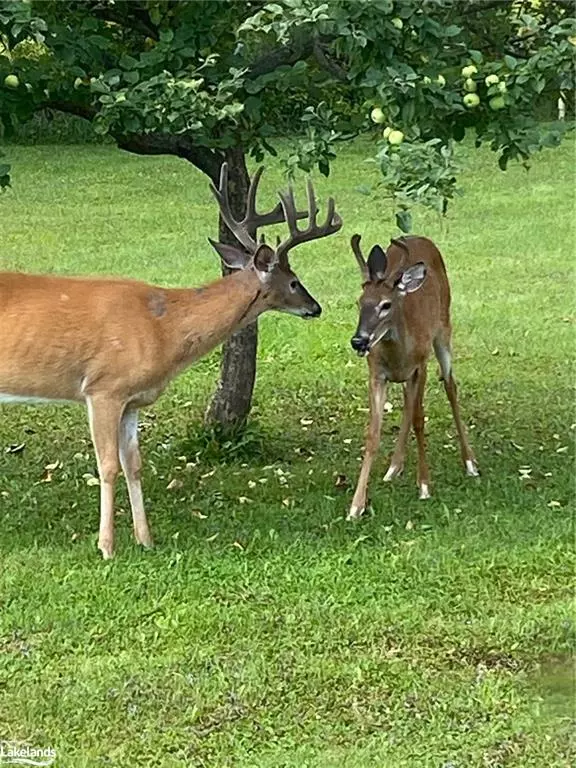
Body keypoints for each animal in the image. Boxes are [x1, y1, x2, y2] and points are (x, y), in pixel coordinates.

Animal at [1, 165, 342, 556]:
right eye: (294, 282)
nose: (315, 307)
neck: (163, 330)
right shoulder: (103, 388)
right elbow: (107, 466)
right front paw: (106, 547)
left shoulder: (132, 400)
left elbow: (133, 465)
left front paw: (146, 540)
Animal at [346, 234, 476, 520]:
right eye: (359, 303)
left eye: (386, 305)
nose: (359, 341)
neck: (398, 352)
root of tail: (417, 237)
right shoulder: (376, 374)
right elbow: (373, 433)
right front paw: (356, 506)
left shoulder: (420, 364)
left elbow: (419, 420)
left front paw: (425, 485)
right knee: (408, 400)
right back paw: (394, 467)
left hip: (443, 330)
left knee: (450, 386)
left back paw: (471, 462)